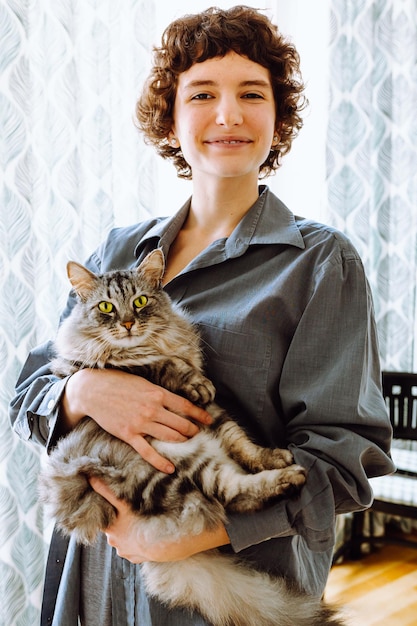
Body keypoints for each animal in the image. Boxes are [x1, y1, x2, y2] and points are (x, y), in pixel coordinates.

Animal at [39, 249, 344, 624]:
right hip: (171, 471)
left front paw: (269, 454)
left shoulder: (212, 415)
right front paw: (190, 379)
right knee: (234, 496)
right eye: (106, 307)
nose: (128, 324)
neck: (152, 343)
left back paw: (282, 466)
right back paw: (289, 478)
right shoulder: (93, 370)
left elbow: (243, 443)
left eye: (140, 302)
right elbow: (156, 365)